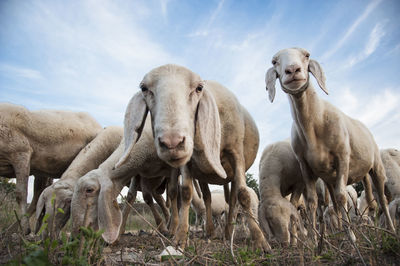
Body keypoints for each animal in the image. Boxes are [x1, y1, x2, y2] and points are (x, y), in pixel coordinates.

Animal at [114, 65, 268, 251]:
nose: (172, 143)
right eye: (144, 88)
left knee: (231, 200)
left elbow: (243, 194)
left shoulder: (236, 154)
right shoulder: (188, 163)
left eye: (199, 88)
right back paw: (210, 231)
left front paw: (260, 240)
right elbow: (186, 192)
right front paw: (180, 237)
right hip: (203, 174)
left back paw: (228, 231)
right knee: (208, 197)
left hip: (231, 173)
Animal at [264, 47, 396, 237]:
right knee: (345, 203)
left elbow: (341, 197)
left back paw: (390, 229)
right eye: (274, 62)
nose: (292, 70)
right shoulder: (306, 167)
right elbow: (313, 203)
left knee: (382, 200)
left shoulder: (342, 157)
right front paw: (315, 239)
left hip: (376, 166)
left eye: (307, 55)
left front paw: (352, 238)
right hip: (335, 178)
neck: (314, 125)